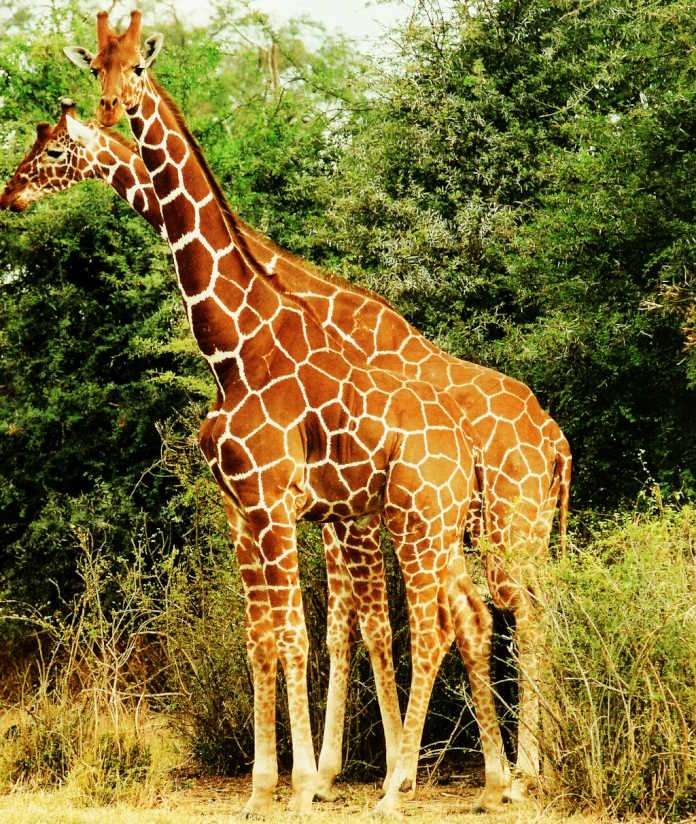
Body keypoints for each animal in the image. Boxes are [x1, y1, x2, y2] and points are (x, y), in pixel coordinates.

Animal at [3, 85, 571, 798]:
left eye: (53, 150)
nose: (12, 193)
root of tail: (556, 440)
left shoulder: (337, 512)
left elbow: (359, 626)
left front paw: (341, 771)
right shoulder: (325, 511)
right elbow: (335, 628)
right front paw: (333, 770)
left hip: (505, 524)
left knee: (524, 613)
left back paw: (524, 769)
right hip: (487, 528)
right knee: (499, 614)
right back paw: (512, 768)